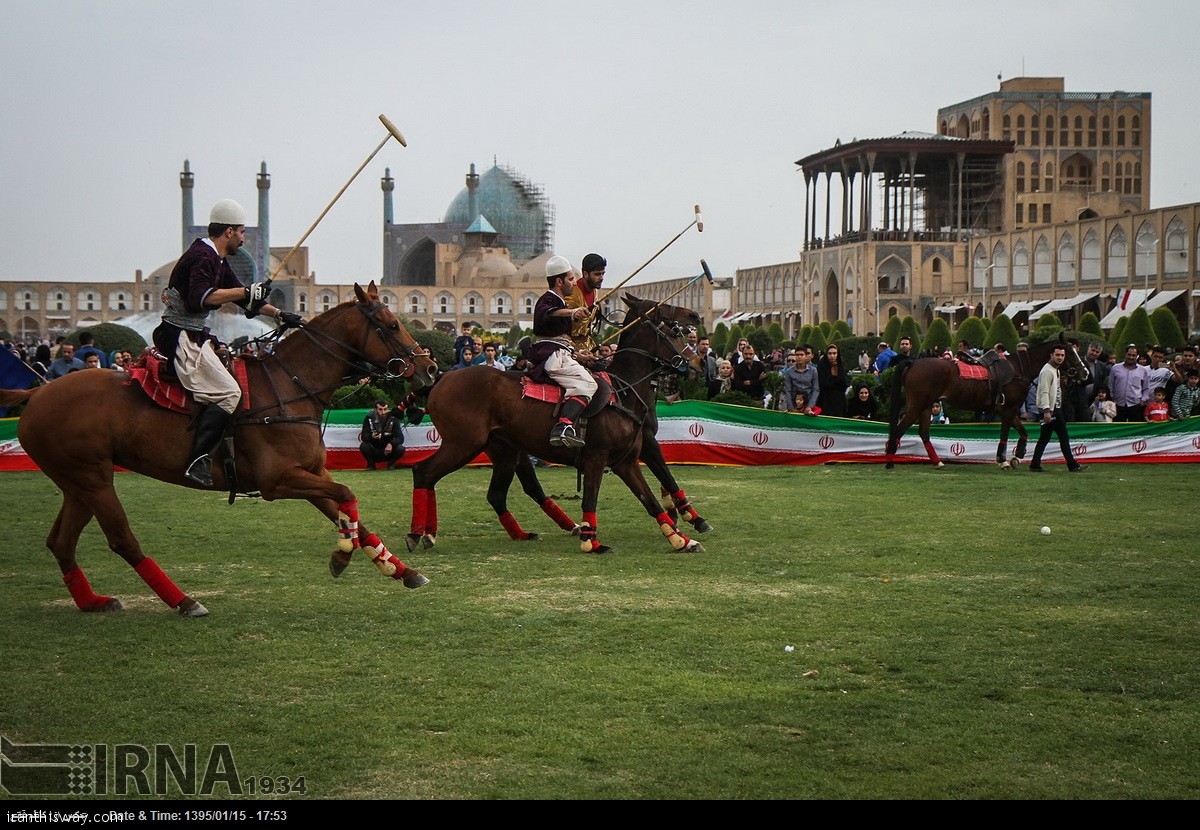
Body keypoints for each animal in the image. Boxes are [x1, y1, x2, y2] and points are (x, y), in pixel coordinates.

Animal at [0, 285, 441, 614]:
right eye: (390, 325)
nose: (430, 368)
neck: (292, 386)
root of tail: (36, 393)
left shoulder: (311, 474)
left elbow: (350, 512)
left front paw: (400, 570)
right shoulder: (277, 481)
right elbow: (348, 496)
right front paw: (343, 556)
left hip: (78, 482)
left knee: (61, 542)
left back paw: (93, 601)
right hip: (94, 479)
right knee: (122, 539)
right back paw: (183, 601)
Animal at [412, 295, 705, 554]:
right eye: (673, 329)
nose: (698, 364)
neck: (624, 392)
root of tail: (441, 379)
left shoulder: (626, 461)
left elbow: (650, 500)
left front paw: (682, 540)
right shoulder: (596, 457)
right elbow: (591, 498)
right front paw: (591, 543)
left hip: (502, 450)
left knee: (493, 493)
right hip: (463, 444)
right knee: (424, 472)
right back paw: (419, 534)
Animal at [883, 333, 1089, 470]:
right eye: (1069, 353)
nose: (1085, 372)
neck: (1019, 369)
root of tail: (913, 363)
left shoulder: (1006, 407)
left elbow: (1022, 430)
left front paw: (1019, 454)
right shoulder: (1010, 407)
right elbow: (1005, 431)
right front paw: (1003, 459)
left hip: (926, 405)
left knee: (923, 432)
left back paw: (937, 461)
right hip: (917, 404)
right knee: (899, 429)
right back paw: (890, 461)